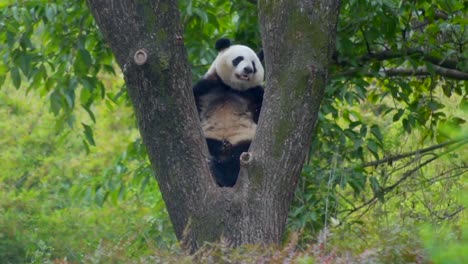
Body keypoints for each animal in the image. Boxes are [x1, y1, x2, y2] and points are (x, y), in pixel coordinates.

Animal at [193, 38, 266, 188]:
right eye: (239, 59)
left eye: (254, 64)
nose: (248, 69)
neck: (232, 88)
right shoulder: (207, 87)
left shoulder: (255, 94)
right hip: (211, 137)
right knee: (212, 145)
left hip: (244, 141)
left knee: (237, 158)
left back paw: (223, 174)